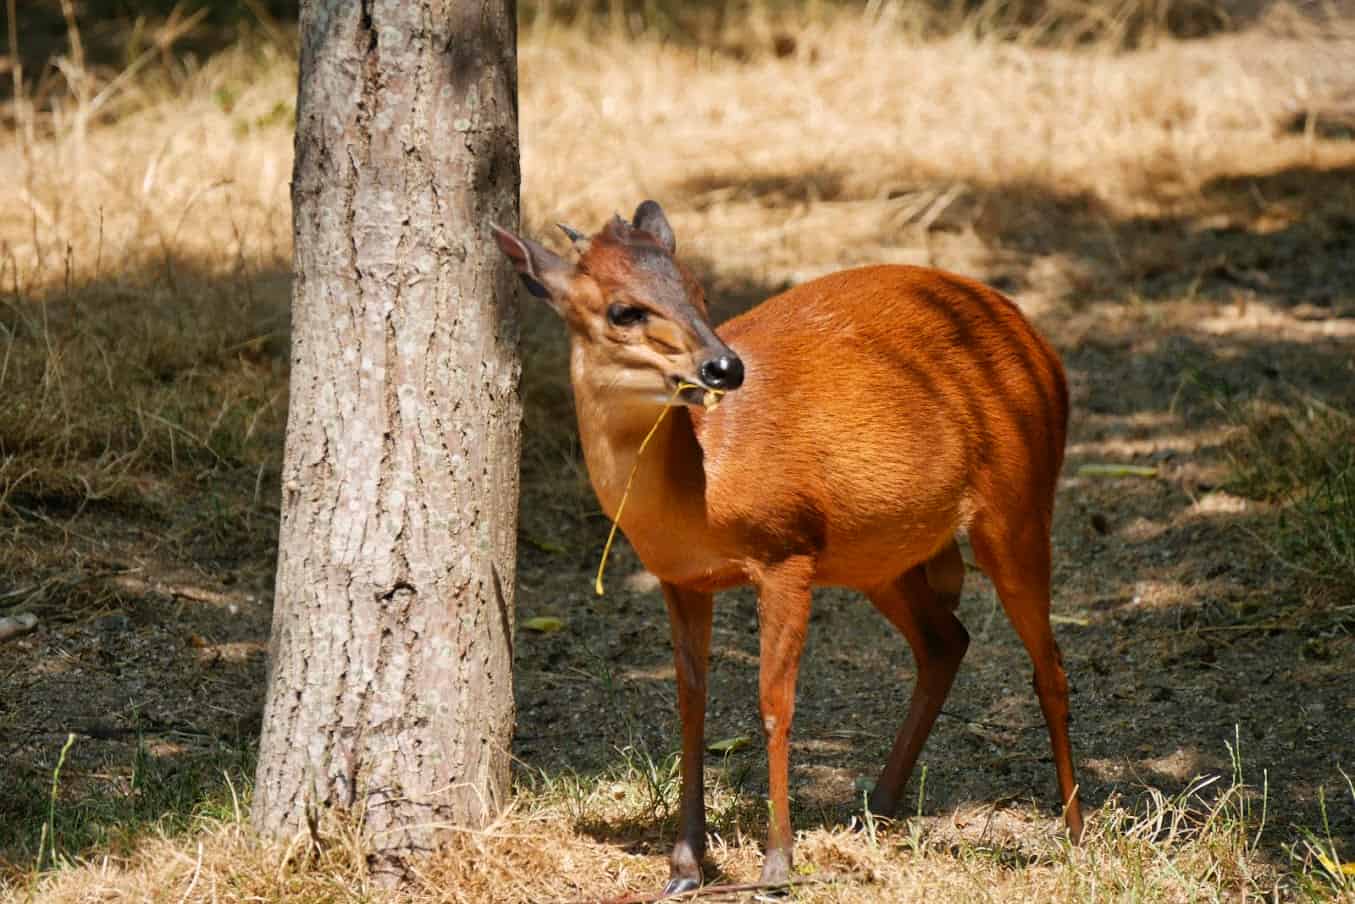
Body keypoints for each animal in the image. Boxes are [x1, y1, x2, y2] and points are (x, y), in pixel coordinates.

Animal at [493, 203, 1084, 889]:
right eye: (624, 310)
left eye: (699, 292)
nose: (723, 367)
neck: (700, 485)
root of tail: (1039, 342)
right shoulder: (679, 578)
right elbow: (691, 705)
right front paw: (685, 866)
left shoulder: (786, 551)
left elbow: (775, 703)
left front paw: (777, 863)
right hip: (879, 558)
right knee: (946, 641)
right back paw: (877, 806)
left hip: (1017, 502)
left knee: (1049, 666)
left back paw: (1075, 832)